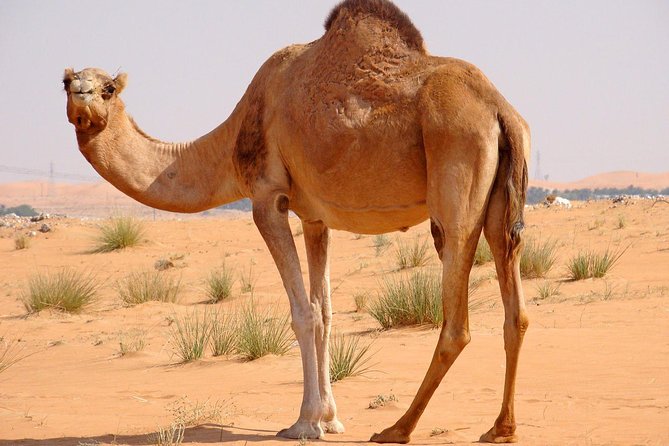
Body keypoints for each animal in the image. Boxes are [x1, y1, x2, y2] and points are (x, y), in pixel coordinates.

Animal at [63, 0, 530, 442]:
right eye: (66, 83)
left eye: (108, 88)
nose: (81, 94)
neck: (231, 140)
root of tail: (500, 110)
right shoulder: (315, 218)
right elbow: (325, 311)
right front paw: (331, 418)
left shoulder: (267, 198)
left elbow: (303, 312)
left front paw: (305, 422)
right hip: (500, 203)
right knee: (516, 310)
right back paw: (500, 428)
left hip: (455, 176)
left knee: (456, 321)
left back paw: (397, 429)